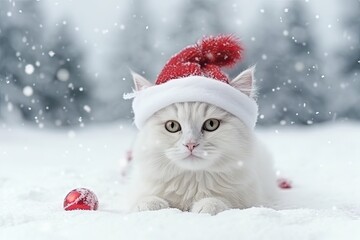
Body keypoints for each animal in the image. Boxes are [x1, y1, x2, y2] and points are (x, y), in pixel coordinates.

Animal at [127, 67, 278, 216]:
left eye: (211, 124)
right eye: (172, 126)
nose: (190, 144)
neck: (192, 181)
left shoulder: (250, 198)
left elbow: (223, 201)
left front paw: (207, 206)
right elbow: (144, 199)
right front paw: (151, 205)